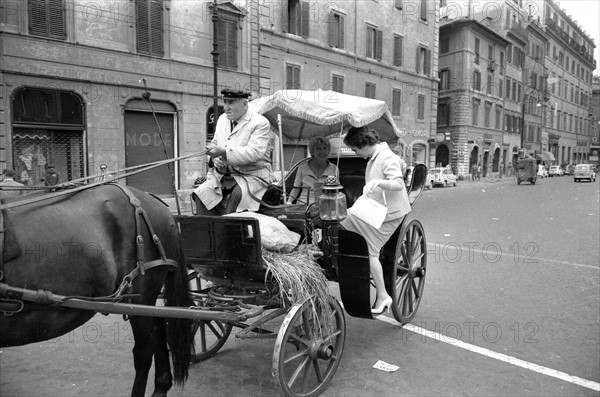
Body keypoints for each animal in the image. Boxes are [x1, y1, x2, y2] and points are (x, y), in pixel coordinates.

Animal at [1, 184, 193, 394]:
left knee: (143, 353)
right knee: (157, 328)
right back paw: (161, 387)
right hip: (144, 301)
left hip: (141, 297)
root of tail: (157, 203)